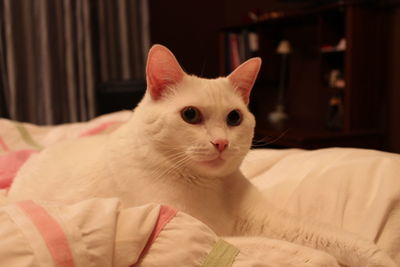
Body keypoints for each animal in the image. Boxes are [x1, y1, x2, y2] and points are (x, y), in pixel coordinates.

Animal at [7, 45, 396, 266]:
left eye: (234, 118)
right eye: (191, 115)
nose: (221, 143)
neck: (210, 189)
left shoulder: (271, 220)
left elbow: (347, 242)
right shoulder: (208, 231)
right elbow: (312, 253)